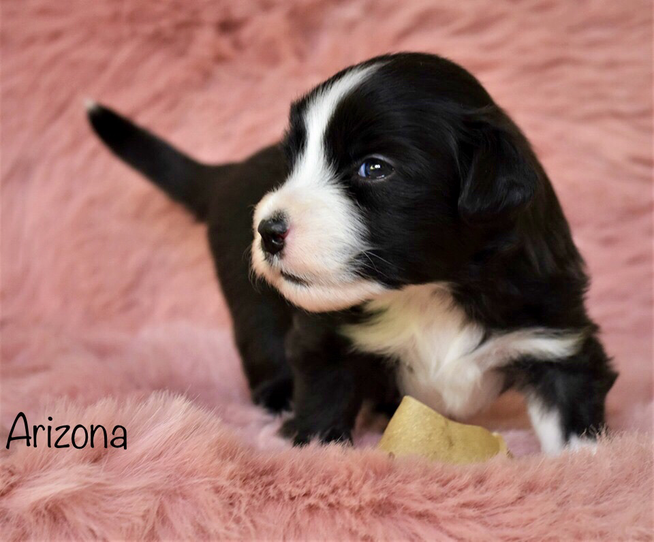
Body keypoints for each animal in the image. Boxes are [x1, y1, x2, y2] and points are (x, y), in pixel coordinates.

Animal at [88, 54, 620, 454]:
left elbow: (574, 423)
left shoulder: (555, 336)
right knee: (261, 342)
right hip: (250, 301)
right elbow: (324, 403)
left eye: (374, 168)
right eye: (293, 161)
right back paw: (279, 401)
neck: (431, 291)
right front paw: (312, 447)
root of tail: (228, 170)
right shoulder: (325, 339)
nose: (268, 230)